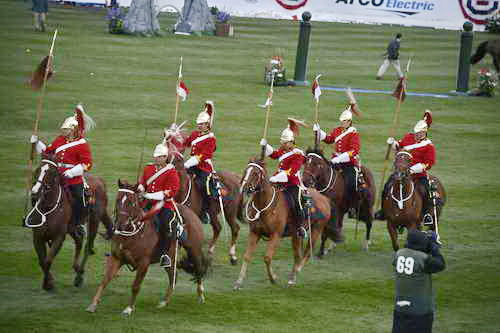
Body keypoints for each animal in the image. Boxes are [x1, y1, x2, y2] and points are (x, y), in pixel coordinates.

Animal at [25, 157, 113, 290]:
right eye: (37, 169)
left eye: (50, 172)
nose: (35, 193)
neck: (47, 208)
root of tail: (100, 181)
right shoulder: (38, 237)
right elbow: (42, 261)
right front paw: (49, 281)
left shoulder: (59, 237)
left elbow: (48, 260)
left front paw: (48, 283)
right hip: (72, 227)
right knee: (79, 241)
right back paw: (77, 268)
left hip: (94, 220)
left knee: (87, 247)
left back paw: (79, 276)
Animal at [87, 180, 210, 312]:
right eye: (118, 199)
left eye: (132, 202)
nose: (120, 225)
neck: (132, 234)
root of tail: (192, 213)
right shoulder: (116, 258)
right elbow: (105, 280)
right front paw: (93, 304)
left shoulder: (143, 263)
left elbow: (136, 286)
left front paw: (129, 308)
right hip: (170, 257)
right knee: (174, 276)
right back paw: (164, 302)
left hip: (194, 250)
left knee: (198, 270)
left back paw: (201, 296)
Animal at [232, 158, 330, 288]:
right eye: (245, 171)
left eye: (255, 173)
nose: (243, 188)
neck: (264, 206)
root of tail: (325, 199)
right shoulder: (254, 233)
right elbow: (247, 256)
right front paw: (239, 281)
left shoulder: (276, 235)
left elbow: (267, 258)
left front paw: (273, 278)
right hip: (296, 235)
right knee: (297, 255)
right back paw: (292, 276)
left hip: (316, 230)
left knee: (307, 253)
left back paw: (294, 275)